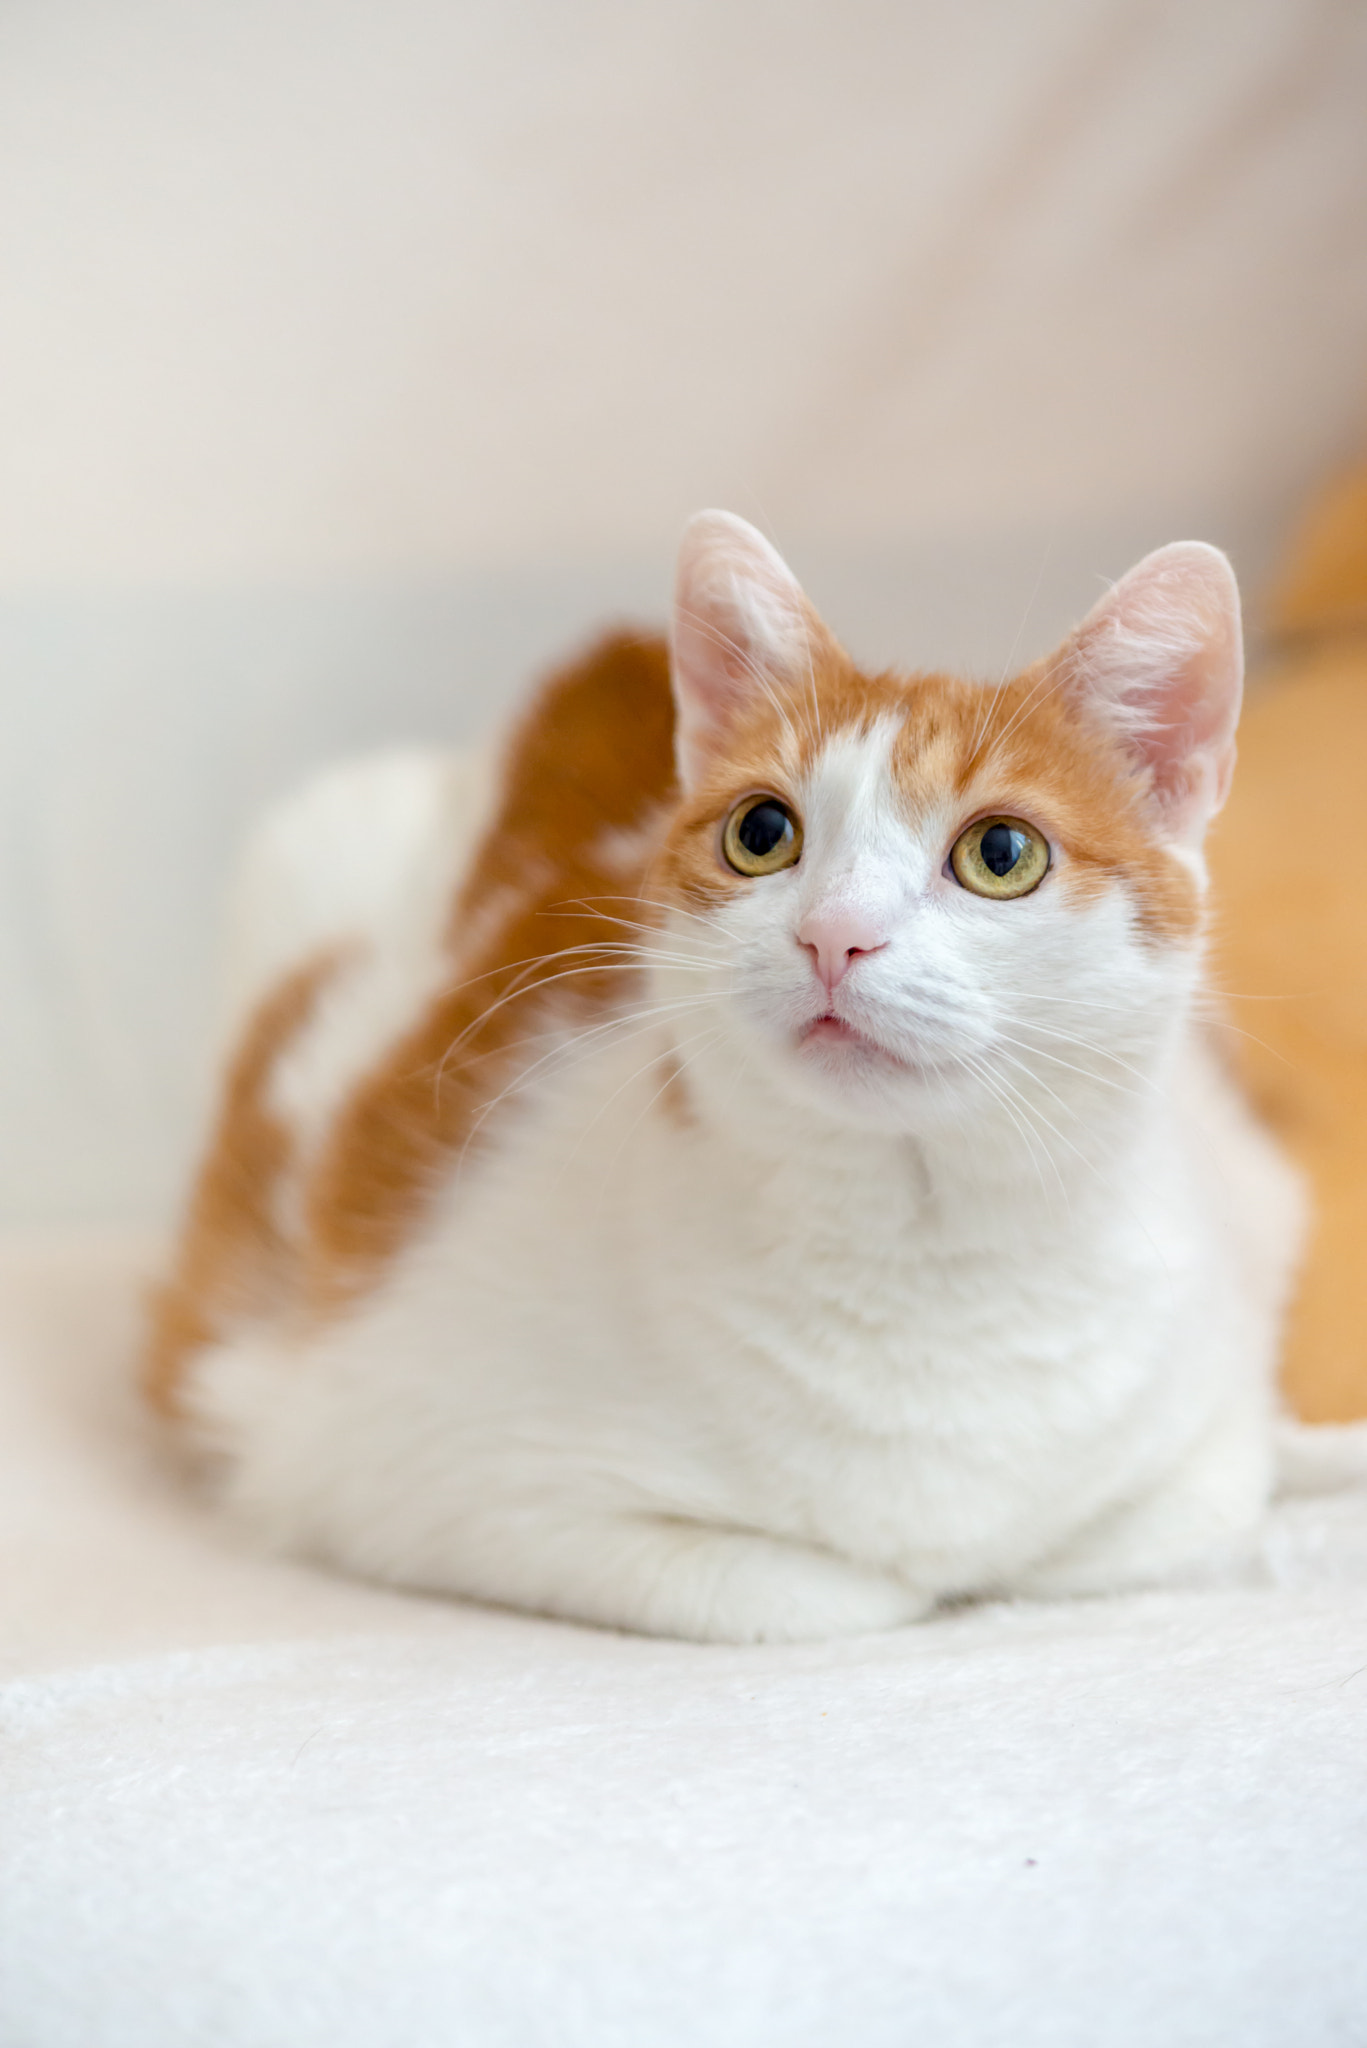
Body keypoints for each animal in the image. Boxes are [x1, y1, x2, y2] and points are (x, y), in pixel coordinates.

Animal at [147, 516, 1303, 1646]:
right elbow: (826, 1592)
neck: (920, 1251)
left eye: (1001, 852)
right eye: (761, 832)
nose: (834, 935)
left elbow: (1121, 1539)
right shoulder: (414, 1476)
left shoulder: (1209, 1445)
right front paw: (906, 1577)